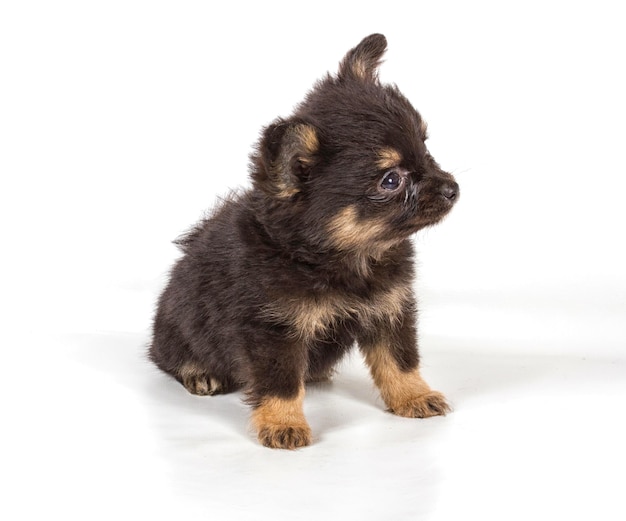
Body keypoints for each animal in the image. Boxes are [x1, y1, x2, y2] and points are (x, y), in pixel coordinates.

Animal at [148, 33, 456, 446]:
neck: (342, 258)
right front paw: (283, 423)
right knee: (171, 357)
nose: (453, 189)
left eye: (426, 149)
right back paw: (199, 372)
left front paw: (413, 396)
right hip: (176, 330)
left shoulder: (389, 309)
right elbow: (280, 383)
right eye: (390, 180)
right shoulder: (273, 328)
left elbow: (400, 360)